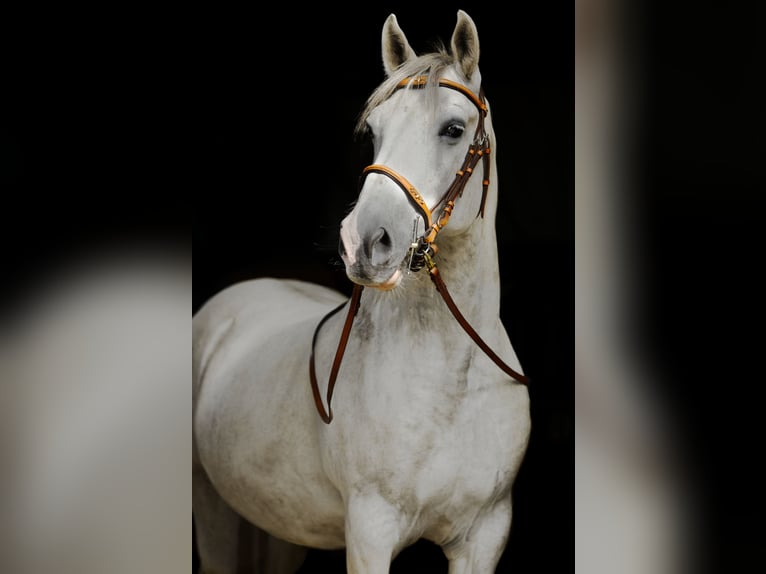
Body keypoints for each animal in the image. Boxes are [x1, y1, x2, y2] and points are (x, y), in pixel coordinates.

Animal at [193, 10, 531, 573]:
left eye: (454, 129)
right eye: (374, 131)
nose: (363, 242)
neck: (451, 380)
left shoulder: (486, 534)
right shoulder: (370, 532)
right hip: (214, 510)